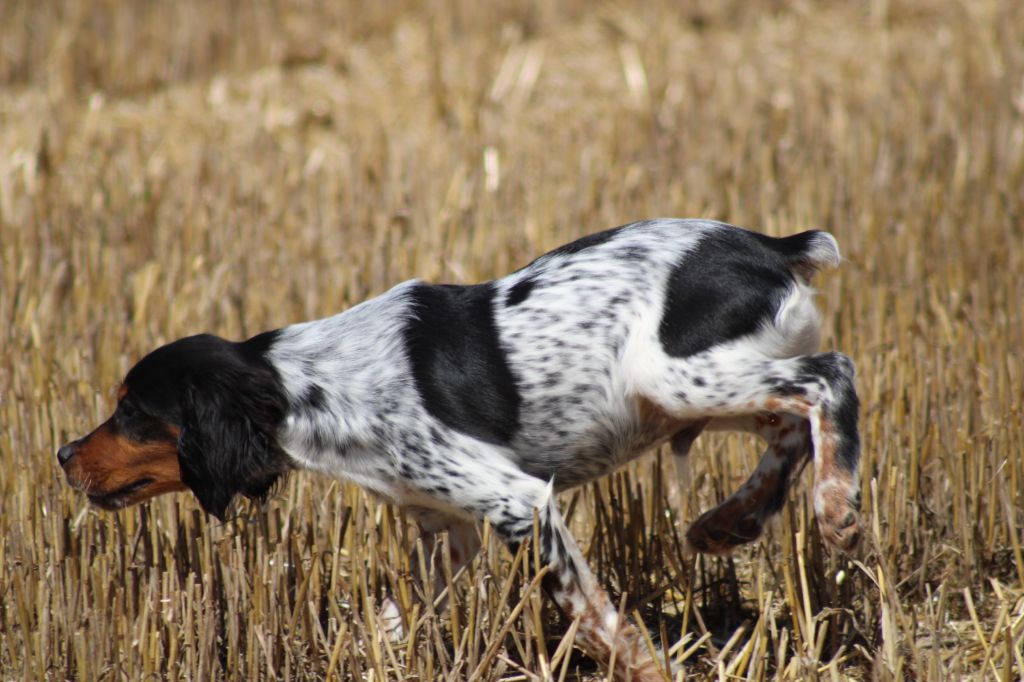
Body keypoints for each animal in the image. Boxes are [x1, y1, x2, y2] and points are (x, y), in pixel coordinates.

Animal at [56, 220, 860, 675]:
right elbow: (406, 615)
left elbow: (591, 615)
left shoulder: (519, 502)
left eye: (131, 410)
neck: (312, 381)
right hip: (692, 394)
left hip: (677, 376)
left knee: (830, 378)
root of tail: (773, 246)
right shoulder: (443, 525)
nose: (64, 455)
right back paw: (732, 521)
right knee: (791, 424)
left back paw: (837, 511)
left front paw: (645, 667)